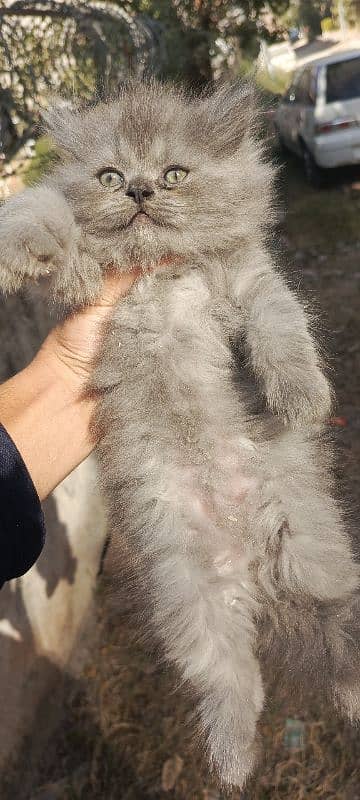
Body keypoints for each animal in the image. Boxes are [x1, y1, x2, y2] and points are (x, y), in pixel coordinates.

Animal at [0, 83, 360, 788]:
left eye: (173, 175)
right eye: (111, 177)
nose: (140, 191)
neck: (160, 275)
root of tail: (255, 572)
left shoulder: (251, 280)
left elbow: (282, 327)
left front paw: (301, 395)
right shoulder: (85, 286)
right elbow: (46, 210)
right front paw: (13, 244)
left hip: (318, 562)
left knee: (339, 638)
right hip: (190, 600)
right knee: (233, 680)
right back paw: (233, 762)